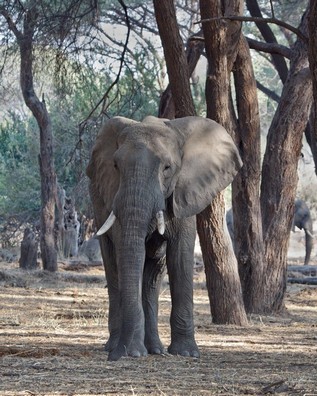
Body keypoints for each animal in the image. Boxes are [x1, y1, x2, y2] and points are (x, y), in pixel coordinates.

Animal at [85, 115, 241, 362]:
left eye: (167, 168)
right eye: (116, 166)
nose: (118, 356)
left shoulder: (184, 193)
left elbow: (180, 258)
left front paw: (186, 353)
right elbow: (127, 252)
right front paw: (134, 352)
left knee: (152, 275)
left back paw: (154, 349)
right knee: (114, 266)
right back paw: (117, 346)